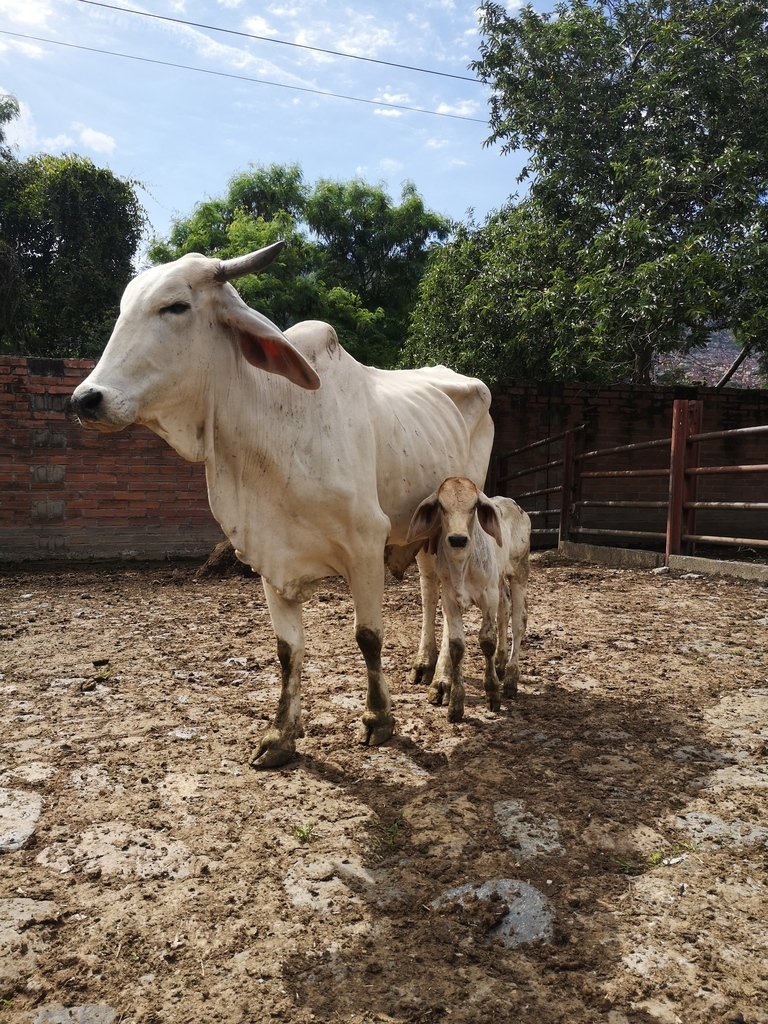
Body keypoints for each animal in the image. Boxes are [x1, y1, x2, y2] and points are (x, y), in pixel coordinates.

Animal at [70, 242, 494, 767]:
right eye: (123, 309)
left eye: (175, 306)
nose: (87, 399)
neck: (276, 422)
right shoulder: (269, 554)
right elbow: (287, 651)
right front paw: (280, 735)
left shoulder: (365, 543)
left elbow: (368, 636)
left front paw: (378, 718)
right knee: (430, 587)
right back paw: (425, 666)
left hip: (455, 528)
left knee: (446, 593)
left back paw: (443, 682)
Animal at [406, 477, 531, 724]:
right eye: (442, 506)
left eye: (474, 507)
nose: (457, 539)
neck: (462, 565)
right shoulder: (450, 601)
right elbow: (456, 646)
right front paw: (455, 704)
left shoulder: (488, 597)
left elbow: (487, 640)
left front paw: (492, 693)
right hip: (500, 580)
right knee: (504, 611)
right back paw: (501, 665)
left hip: (519, 572)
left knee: (518, 621)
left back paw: (511, 679)